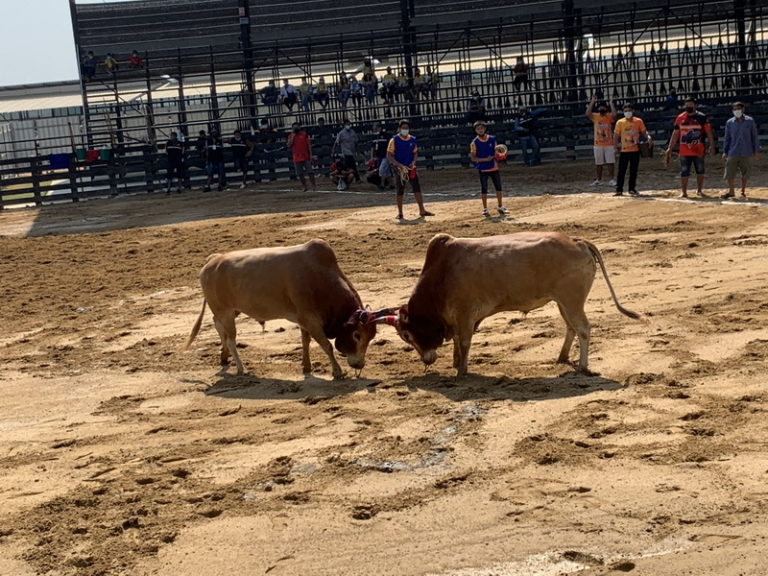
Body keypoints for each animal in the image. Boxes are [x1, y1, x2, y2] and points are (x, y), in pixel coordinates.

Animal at [186, 238, 378, 378]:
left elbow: (305, 341)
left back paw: (224, 357)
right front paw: (337, 371)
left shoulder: (303, 319)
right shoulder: (311, 320)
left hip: (230, 311)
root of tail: (213, 259)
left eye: (372, 336)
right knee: (230, 339)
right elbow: (326, 345)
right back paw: (240, 368)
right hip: (225, 312)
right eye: (357, 335)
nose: (360, 364)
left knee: (219, 327)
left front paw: (307, 366)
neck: (319, 277)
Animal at [380, 232, 640, 376]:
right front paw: (454, 362)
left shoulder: (466, 314)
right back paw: (562, 357)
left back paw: (583, 366)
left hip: (571, 300)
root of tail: (577, 241)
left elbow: (464, 342)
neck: (441, 273)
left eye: (406, 335)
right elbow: (456, 340)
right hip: (563, 302)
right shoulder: (457, 318)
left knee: (583, 328)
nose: (426, 360)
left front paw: (462, 371)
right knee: (571, 327)